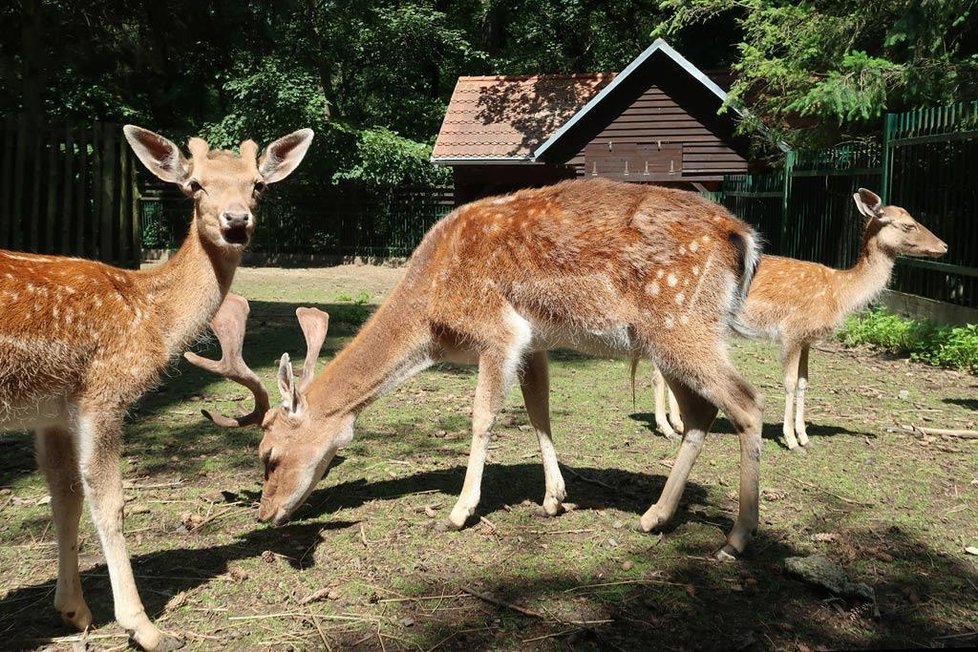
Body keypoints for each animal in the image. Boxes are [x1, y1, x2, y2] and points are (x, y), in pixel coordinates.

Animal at [0, 125, 312, 648]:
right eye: (195, 185)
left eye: (258, 185)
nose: (236, 220)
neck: (151, 316)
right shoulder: (103, 392)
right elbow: (109, 501)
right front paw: (145, 626)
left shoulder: (53, 411)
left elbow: (65, 495)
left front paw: (75, 611)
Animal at [191, 178, 768, 560]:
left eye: (268, 456)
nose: (265, 513)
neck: (431, 318)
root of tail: (743, 236)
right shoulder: (534, 343)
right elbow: (539, 414)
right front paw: (554, 499)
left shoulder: (498, 331)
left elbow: (484, 418)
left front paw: (461, 510)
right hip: (673, 338)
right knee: (700, 414)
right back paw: (656, 516)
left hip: (679, 324)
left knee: (746, 401)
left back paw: (738, 537)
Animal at [652, 188, 940, 448]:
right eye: (908, 225)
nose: (944, 245)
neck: (838, 294)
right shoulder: (791, 331)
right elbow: (789, 382)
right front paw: (790, 439)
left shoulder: (807, 339)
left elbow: (804, 382)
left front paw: (804, 436)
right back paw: (667, 427)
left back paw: (677, 423)